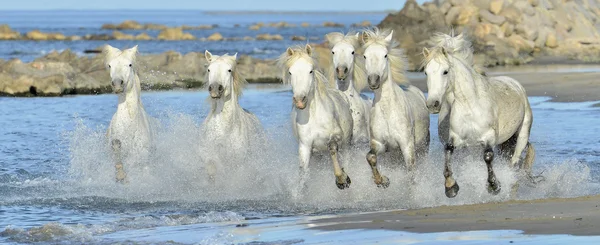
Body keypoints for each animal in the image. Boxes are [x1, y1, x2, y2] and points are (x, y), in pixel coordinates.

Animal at [103, 44, 155, 183]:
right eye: (110, 65)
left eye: (130, 64)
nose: (117, 84)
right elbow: (116, 148)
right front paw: (120, 175)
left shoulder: (143, 156)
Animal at [203, 51, 262, 181]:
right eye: (209, 69)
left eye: (229, 70)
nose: (215, 89)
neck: (225, 130)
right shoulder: (210, 157)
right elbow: (211, 170)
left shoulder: (238, 163)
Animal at [278, 44, 354, 189]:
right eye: (290, 72)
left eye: (310, 71)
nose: (300, 101)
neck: (314, 117)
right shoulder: (305, 146)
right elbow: (302, 171)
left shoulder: (336, 136)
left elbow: (332, 149)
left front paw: (342, 179)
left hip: (347, 145)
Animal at [360, 28, 432, 188]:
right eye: (365, 56)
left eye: (385, 55)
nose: (373, 81)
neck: (388, 111)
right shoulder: (380, 144)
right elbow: (370, 157)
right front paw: (382, 181)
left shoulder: (406, 145)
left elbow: (411, 172)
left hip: (423, 147)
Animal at [422, 32, 536, 197]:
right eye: (426, 72)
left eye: (445, 71)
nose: (432, 104)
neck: (470, 105)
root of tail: (516, 84)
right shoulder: (457, 137)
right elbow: (448, 150)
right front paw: (451, 187)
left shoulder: (488, 137)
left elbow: (488, 156)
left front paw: (494, 186)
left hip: (522, 135)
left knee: (513, 162)